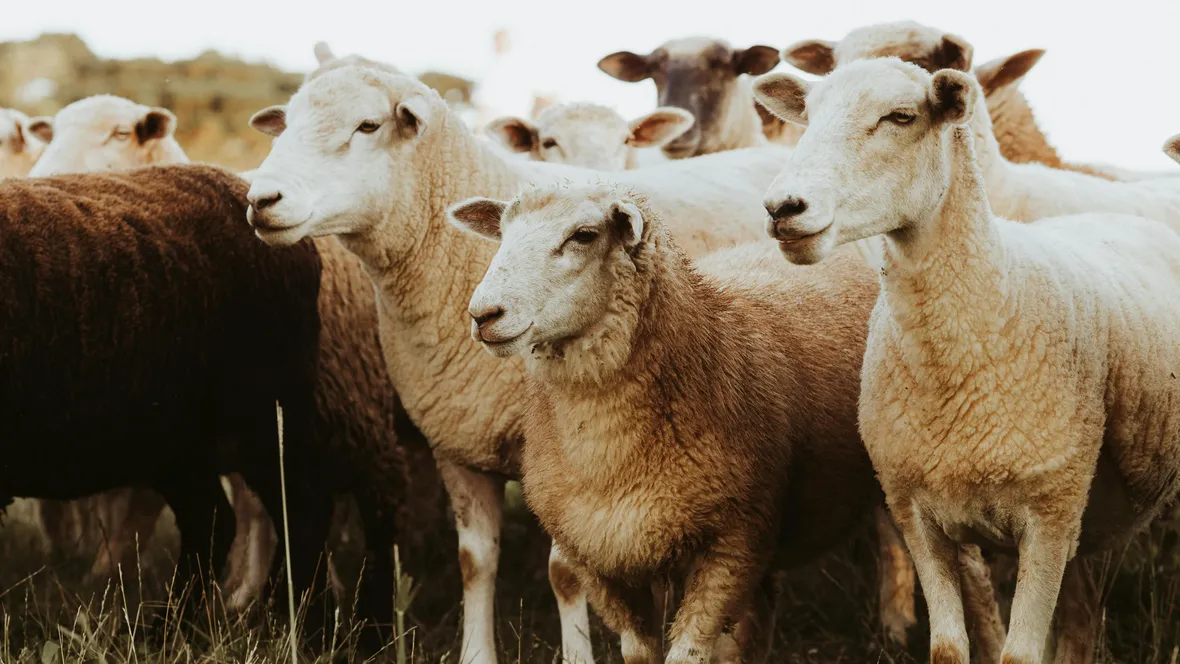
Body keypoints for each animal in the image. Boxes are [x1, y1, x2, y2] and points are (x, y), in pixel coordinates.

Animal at [0, 164, 335, 635]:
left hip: (267, 410)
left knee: (302, 507)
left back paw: (298, 620)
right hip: (176, 441)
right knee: (212, 520)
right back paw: (169, 628)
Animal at [757, 56, 1180, 664]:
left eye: (901, 116)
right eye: (808, 117)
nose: (782, 208)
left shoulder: (1049, 518)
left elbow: (1019, 654)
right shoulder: (916, 513)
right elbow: (948, 648)